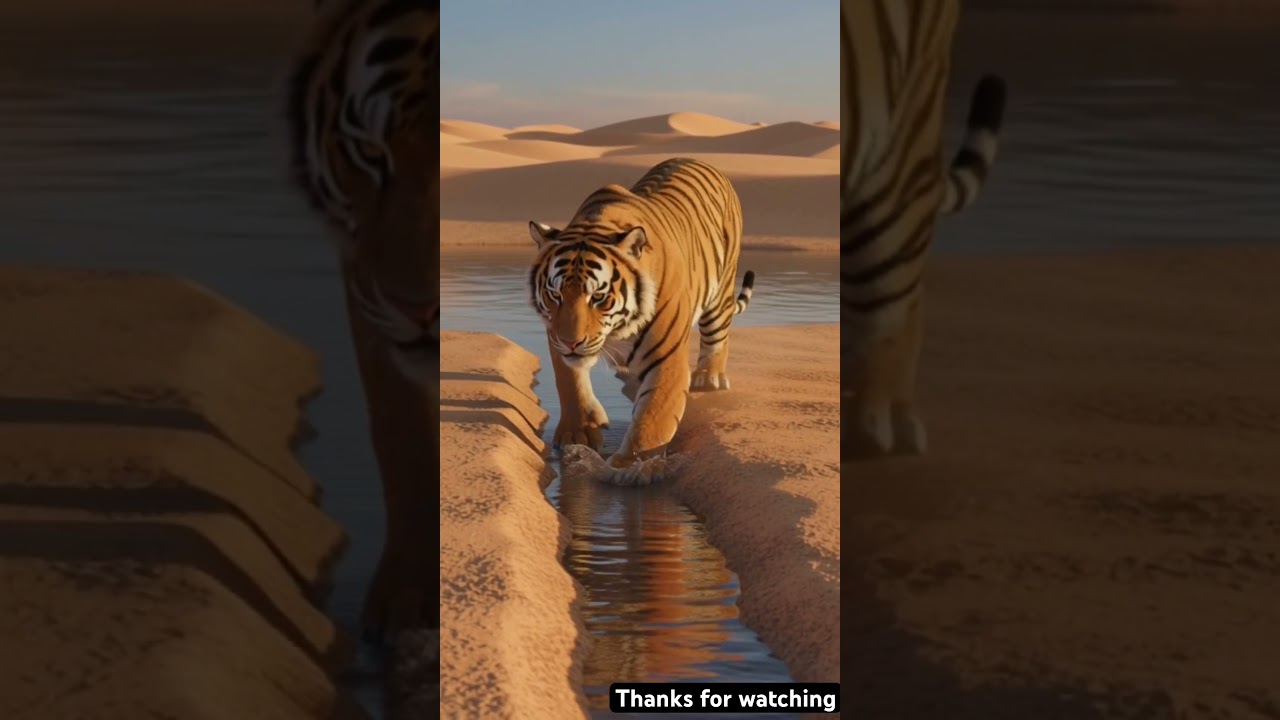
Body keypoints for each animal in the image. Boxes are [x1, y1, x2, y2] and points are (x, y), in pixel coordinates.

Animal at [528, 157, 755, 480]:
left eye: (598, 296)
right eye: (555, 294)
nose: (572, 342)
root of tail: (698, 160)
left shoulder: (667, 358)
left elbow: (654, 415)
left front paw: (630, 468)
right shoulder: (555, 334)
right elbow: (569, 382)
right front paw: (578, 433)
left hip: (720, 292)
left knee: (717, 336)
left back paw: (708, 377)